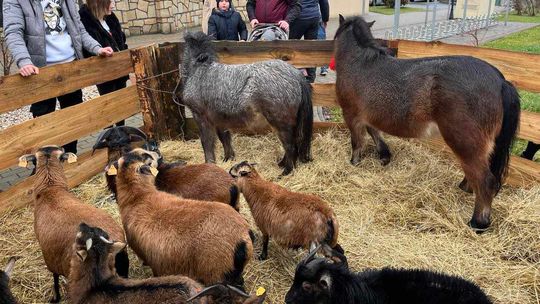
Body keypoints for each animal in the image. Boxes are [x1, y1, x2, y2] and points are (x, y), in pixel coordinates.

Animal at [336, 15, 520, 230]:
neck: (360, 63)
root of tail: (500, 81)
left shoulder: (352, 115)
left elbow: (357, 141)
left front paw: (354, 162)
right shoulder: (369, 116)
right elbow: (374, 132)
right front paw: (384, 155)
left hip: (465, 142)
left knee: (485, 180)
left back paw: (478, 222)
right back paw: (465, 188)